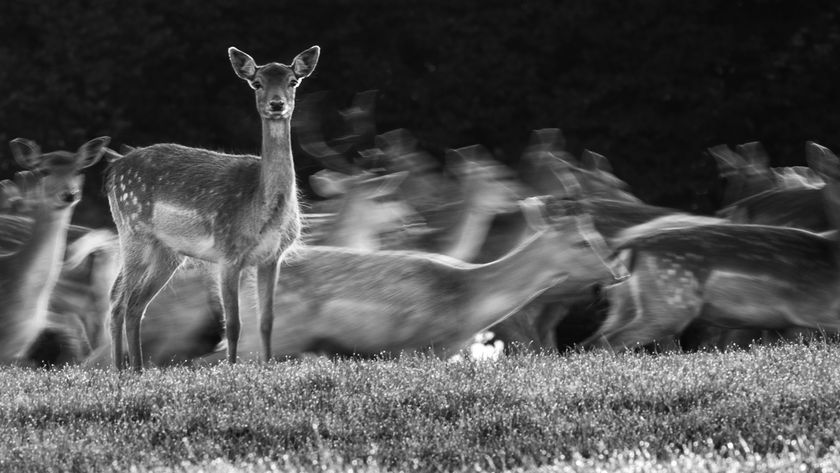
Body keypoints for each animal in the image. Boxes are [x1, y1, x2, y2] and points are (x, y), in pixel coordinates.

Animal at [106, 46, 319, 370]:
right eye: (256, 83)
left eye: (293, 81)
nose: (277, 104)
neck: (262, 209)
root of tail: (114, 168)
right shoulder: (227, 253)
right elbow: (233, 324)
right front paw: (231, 368)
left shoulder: (273, 257)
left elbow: (267, 320)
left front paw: (268, 365)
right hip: (133, 231)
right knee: (119, 300)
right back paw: (121, 369)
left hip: (167, 253)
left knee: (133, 305)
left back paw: (136, 369)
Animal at [199, 195, 628, 362]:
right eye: (581, 241)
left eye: (596, 234)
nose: (617, 274)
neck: (469, 302)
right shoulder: (412, 344)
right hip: (278, 332)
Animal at [581, 141, 840, 351]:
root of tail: (630, 247)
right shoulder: (812, 309)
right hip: (671, 303)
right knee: (610, 342)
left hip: (625, 303)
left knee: (592, 342)